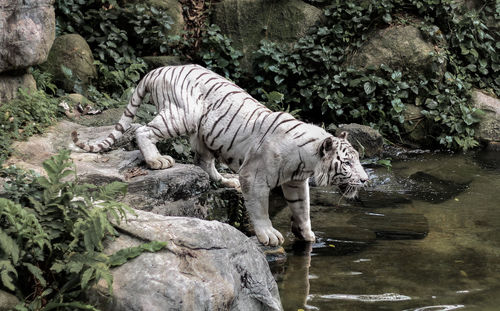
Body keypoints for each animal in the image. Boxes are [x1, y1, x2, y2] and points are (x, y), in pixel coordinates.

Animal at [71, 64, 368, 247]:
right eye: (348, 163)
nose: (366, 180)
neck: (306, 162)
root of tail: (158, 69)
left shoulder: (296, 182)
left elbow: (302, 208)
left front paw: (307, 235)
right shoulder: (254, 177)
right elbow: (260, 209)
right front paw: (269, 235)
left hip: (203, 133)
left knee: (203, 161)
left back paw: (225, 180)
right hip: (183, 116)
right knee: (141, 129)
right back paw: (157, 160)